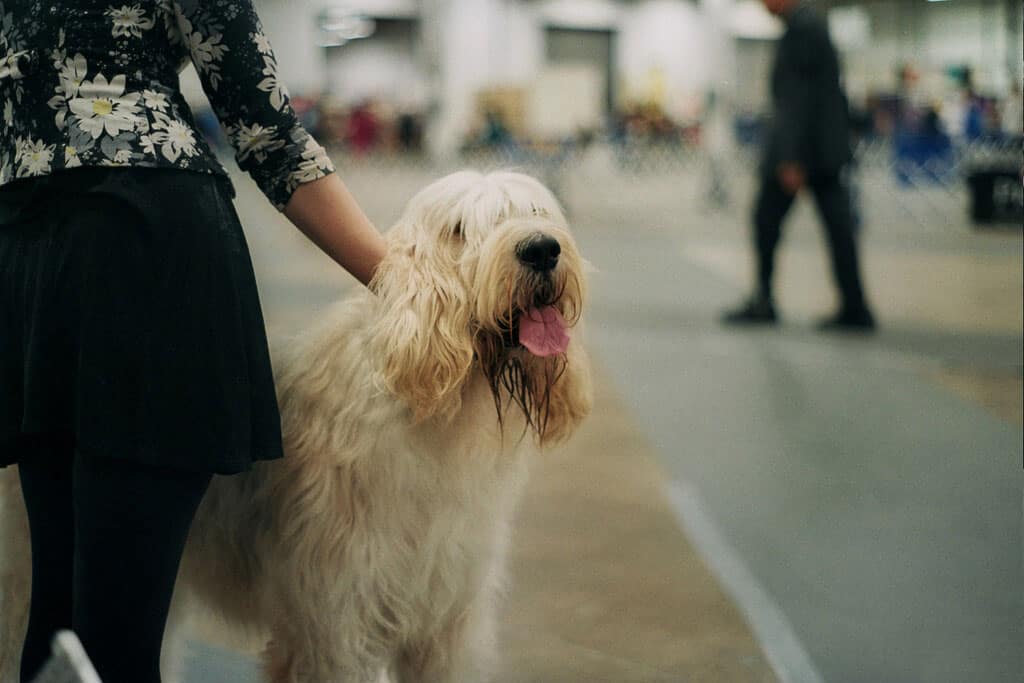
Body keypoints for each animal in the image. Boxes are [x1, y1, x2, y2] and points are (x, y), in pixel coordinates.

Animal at [0, 171, 593, 683]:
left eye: (535, 212)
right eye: (460, 230)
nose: (542, 250)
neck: (431, 406)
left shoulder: (444, 628)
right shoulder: (337, 627)